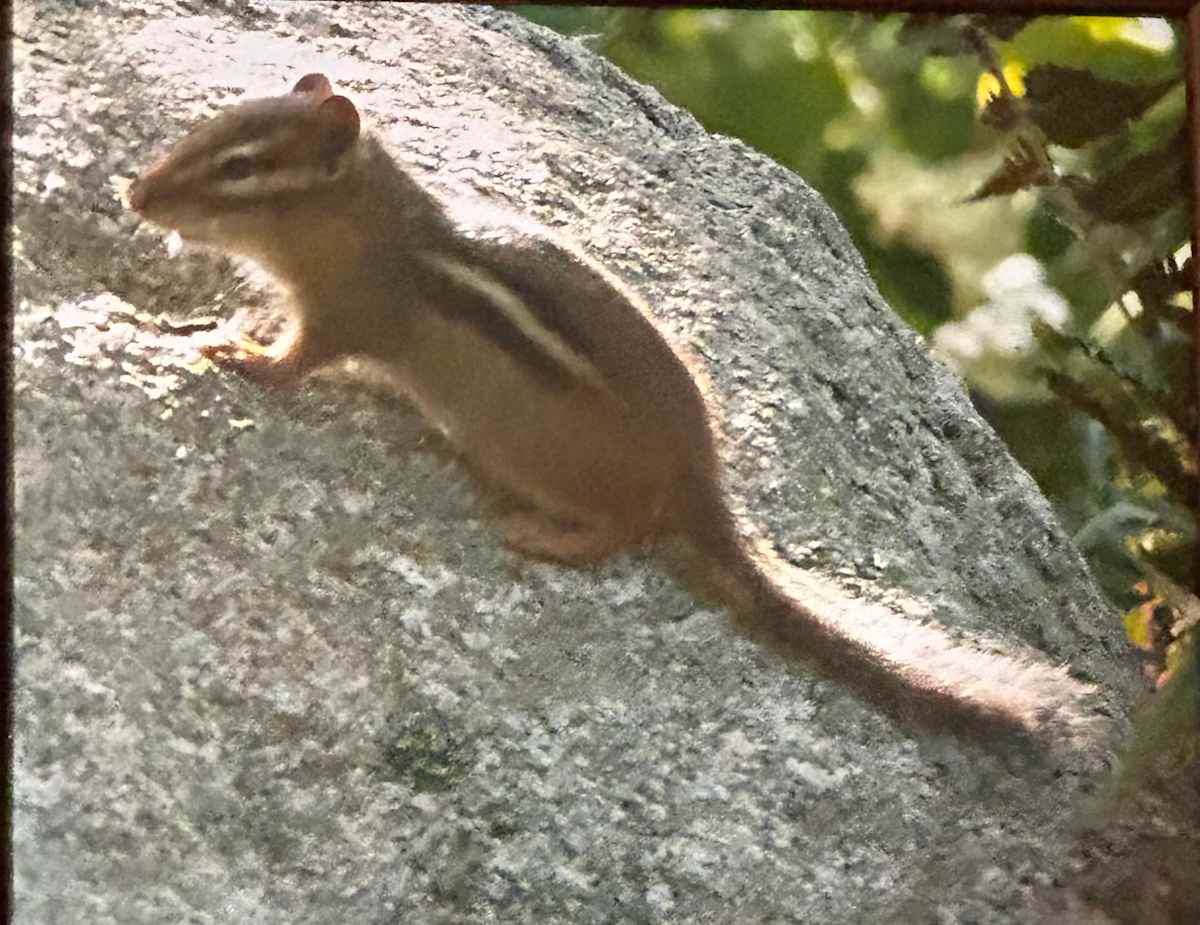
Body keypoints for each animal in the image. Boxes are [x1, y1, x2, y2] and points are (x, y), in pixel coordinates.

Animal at [128, 74, 1096, 750]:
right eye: (208, 130)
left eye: (240, 168)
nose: (136, 195)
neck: (370, 222)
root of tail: (702, 485)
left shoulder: (348, 313)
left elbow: (299, 360)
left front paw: (236, 354)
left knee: (626, 532)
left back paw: (548, 537)